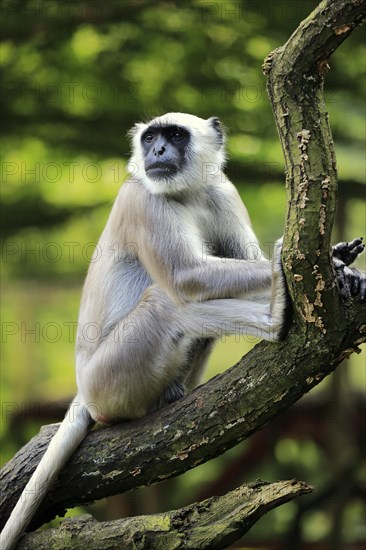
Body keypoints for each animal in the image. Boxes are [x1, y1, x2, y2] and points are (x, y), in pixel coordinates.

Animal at [1, 113, 364, 550]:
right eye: (150, 138)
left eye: (174, 135)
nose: (157, 150)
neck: (186, 193)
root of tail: (83, 393)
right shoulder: (142, 198)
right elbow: (184, 277)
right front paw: (333, 267)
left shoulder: (222, 191)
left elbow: (240, 258)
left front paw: (346, 275)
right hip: (109, 380)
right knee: (167, 300)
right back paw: (276, 319)